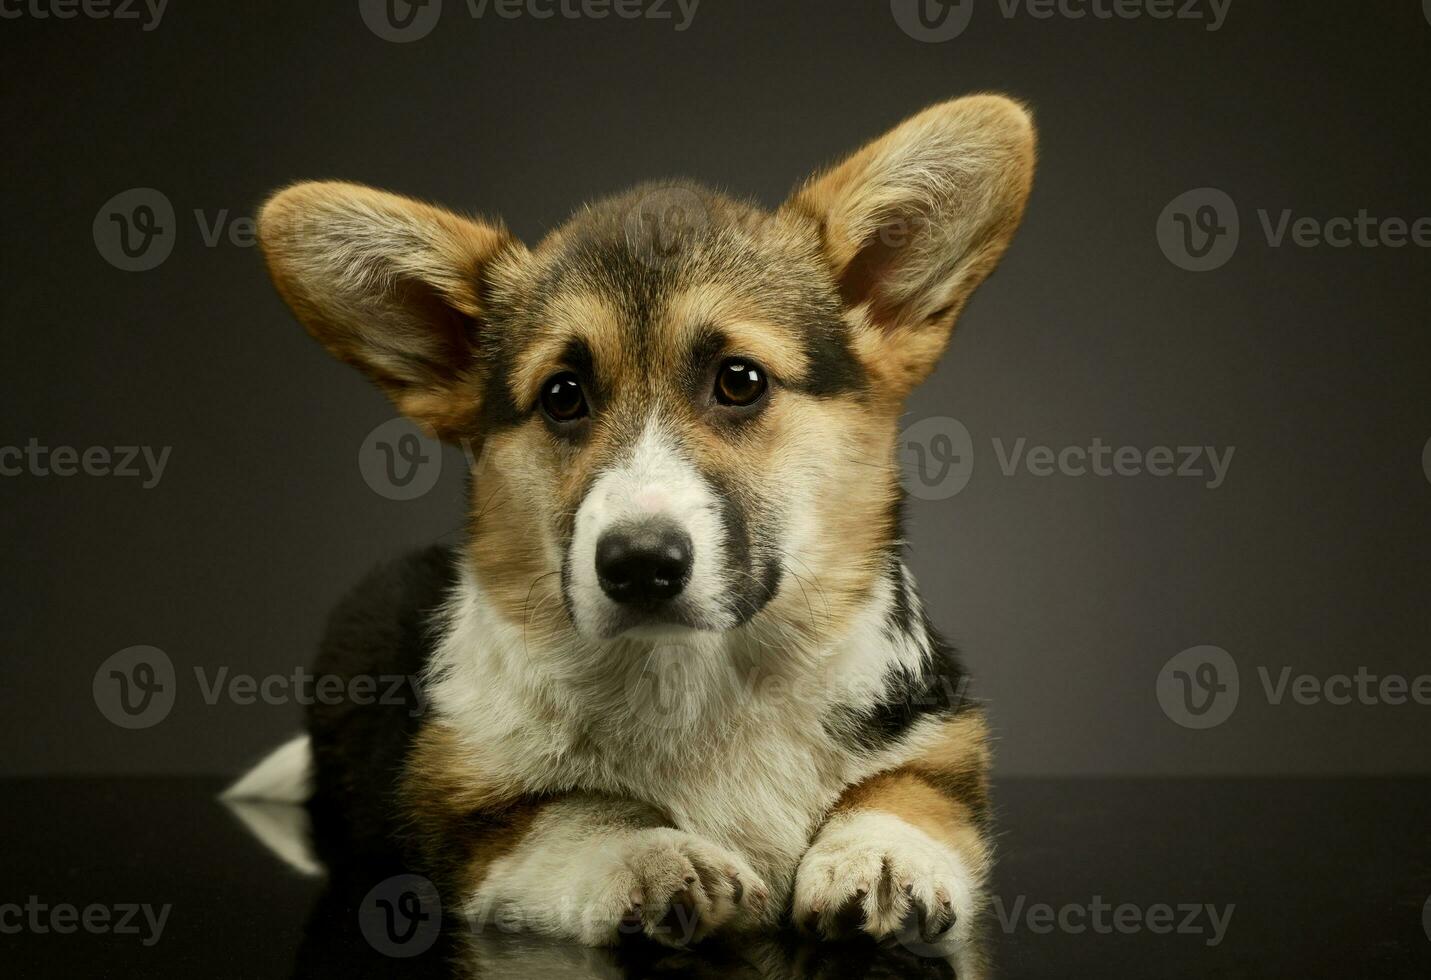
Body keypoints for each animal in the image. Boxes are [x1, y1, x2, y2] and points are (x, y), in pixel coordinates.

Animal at [237, 95, 1041, 949]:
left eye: (739, 380)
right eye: (562, 396)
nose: (639, 564)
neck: (698, 676)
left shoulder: (941, 743)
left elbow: (901, 793)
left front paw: (879, 858)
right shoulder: (468, 819)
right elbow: (579, 815)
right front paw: (660, 860)